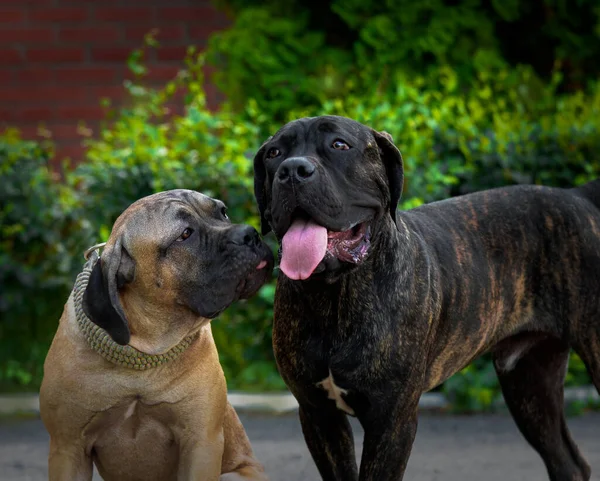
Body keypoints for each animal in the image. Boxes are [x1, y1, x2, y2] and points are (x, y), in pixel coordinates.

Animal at [253, 114, 600, 478]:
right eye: (274, 153)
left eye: (339, 145)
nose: (292, 169)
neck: (335, 297)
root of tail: (577, 197)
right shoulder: (319, 415)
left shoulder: (392, 421)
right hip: (528, 379)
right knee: (568, 462)